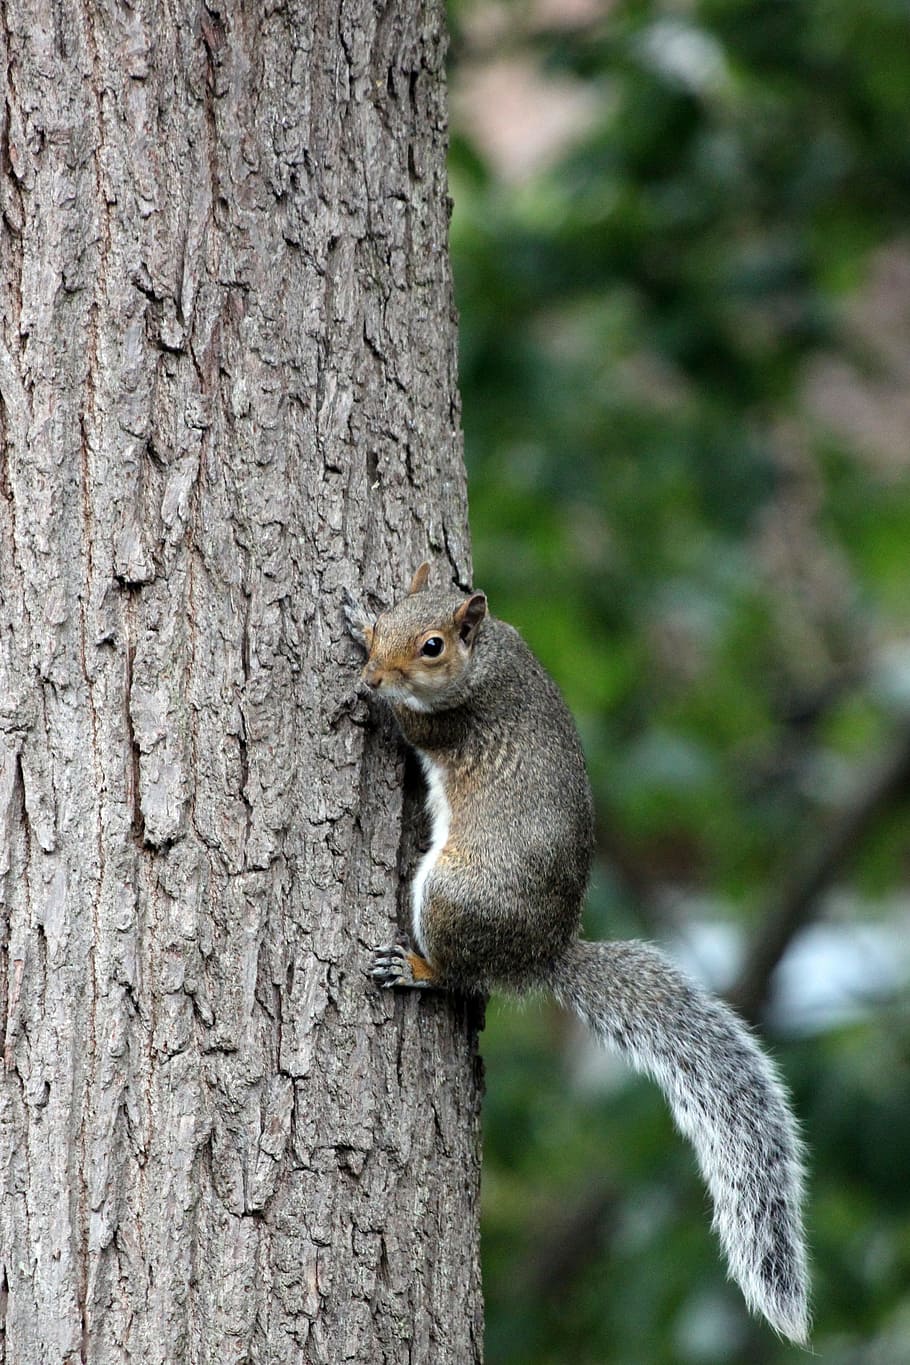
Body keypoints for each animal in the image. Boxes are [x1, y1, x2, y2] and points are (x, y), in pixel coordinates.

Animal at [344, 562, 810, 1344]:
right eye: (389, 622)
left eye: (432, 646)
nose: (374, 674)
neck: (487, 658)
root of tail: (544, 955)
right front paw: (354, 614)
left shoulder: (451, 720)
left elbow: (414, 725)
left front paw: (374, 693)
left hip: (450, 894)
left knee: (464, 977)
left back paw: (415, 969)